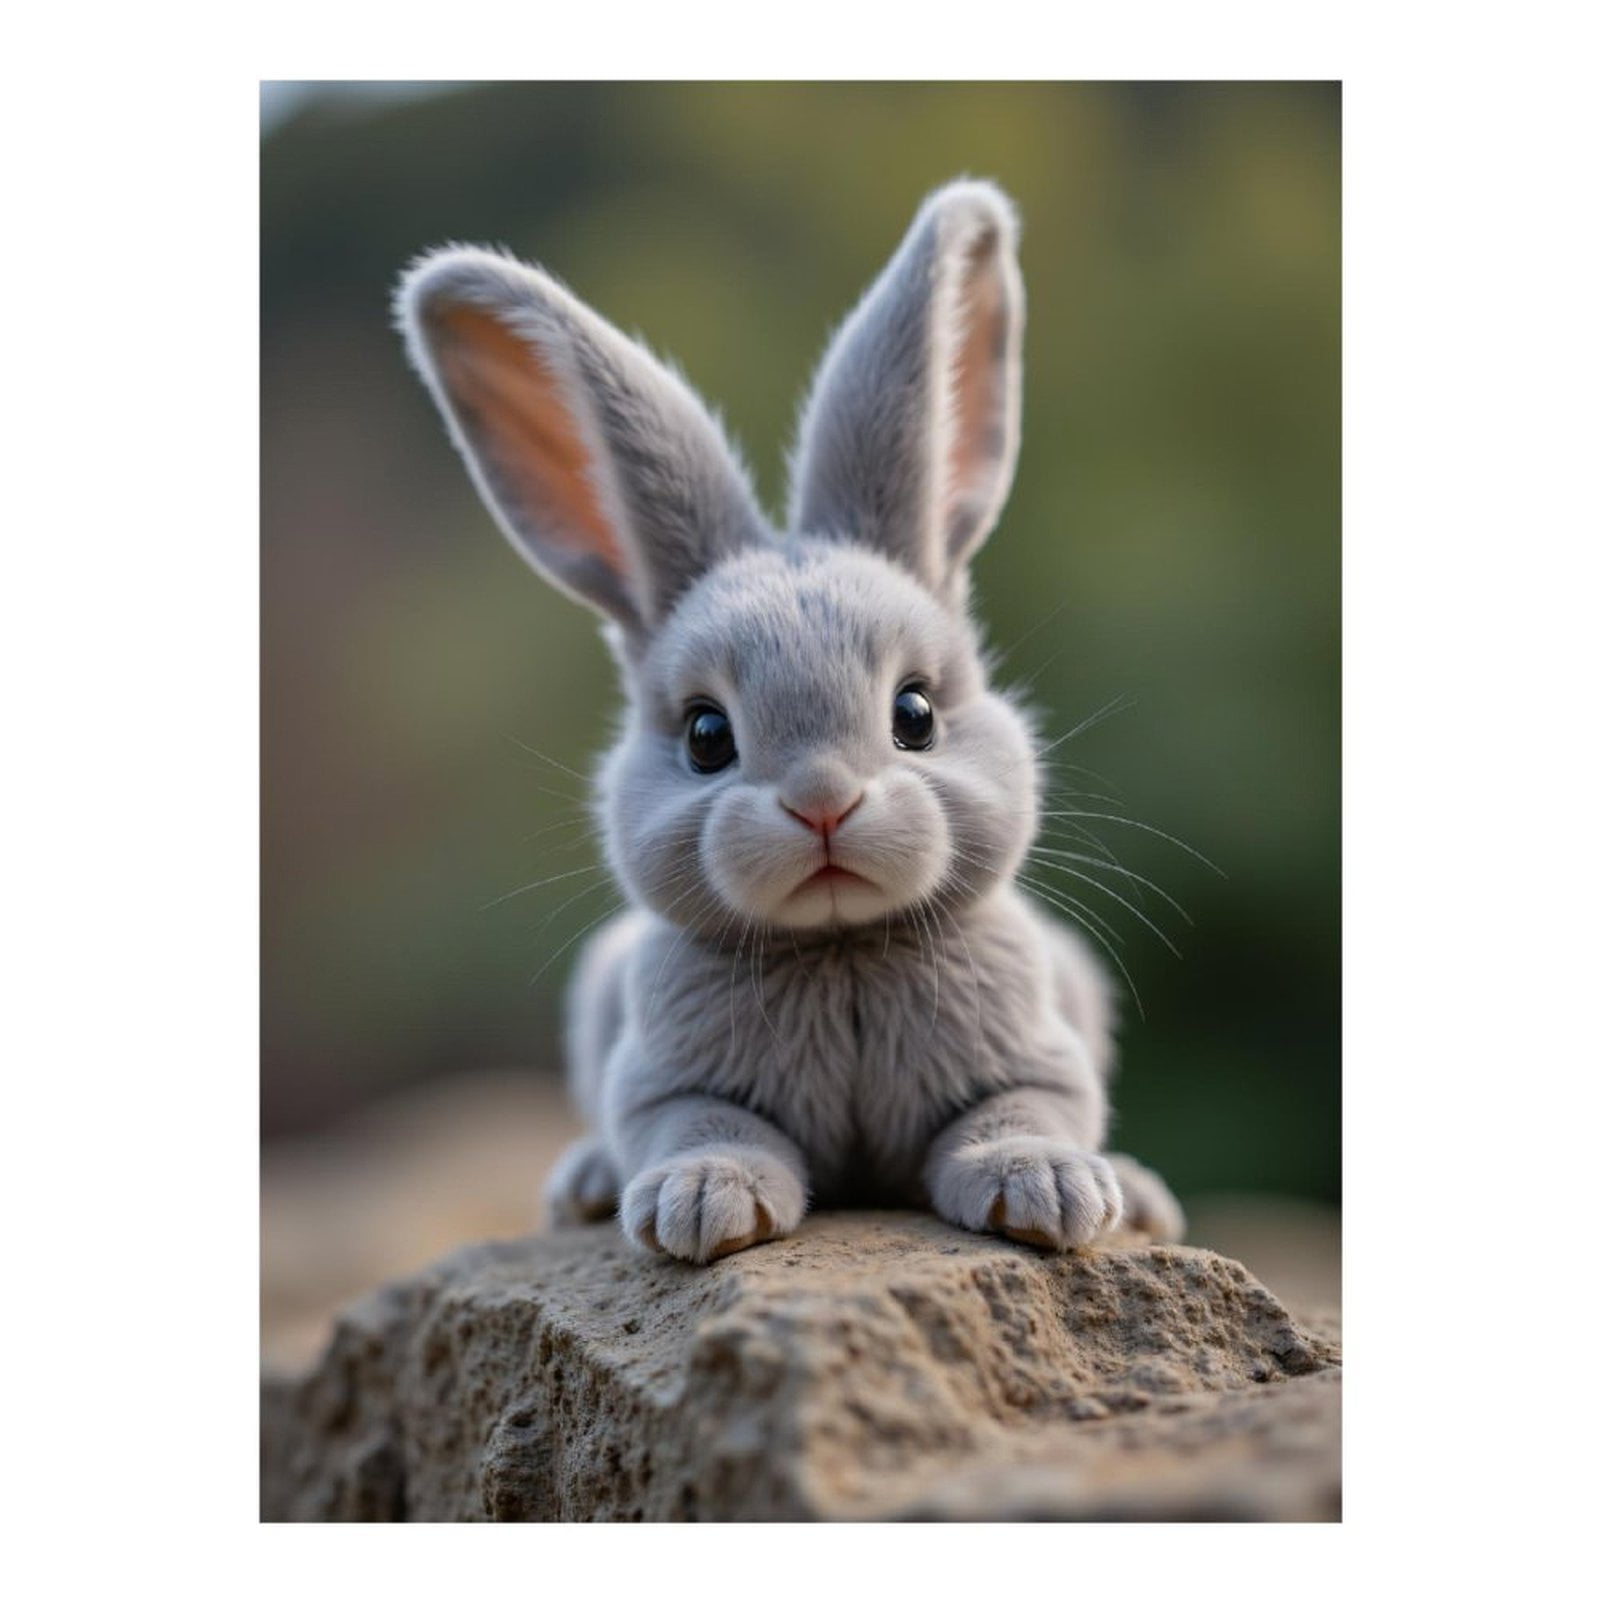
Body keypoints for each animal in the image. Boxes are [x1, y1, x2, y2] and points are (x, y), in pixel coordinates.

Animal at [395, 178, 1185, 1264]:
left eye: (915, 712)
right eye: (705, 737)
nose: (822, 803)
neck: (838, 947)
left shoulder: (1036, 1061)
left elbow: (1015, 1115)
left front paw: (1049, 1192)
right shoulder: (666, 1086)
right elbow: (706, 1128)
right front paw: (698, 1206)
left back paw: (1138, 1193)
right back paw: (589, 1185)